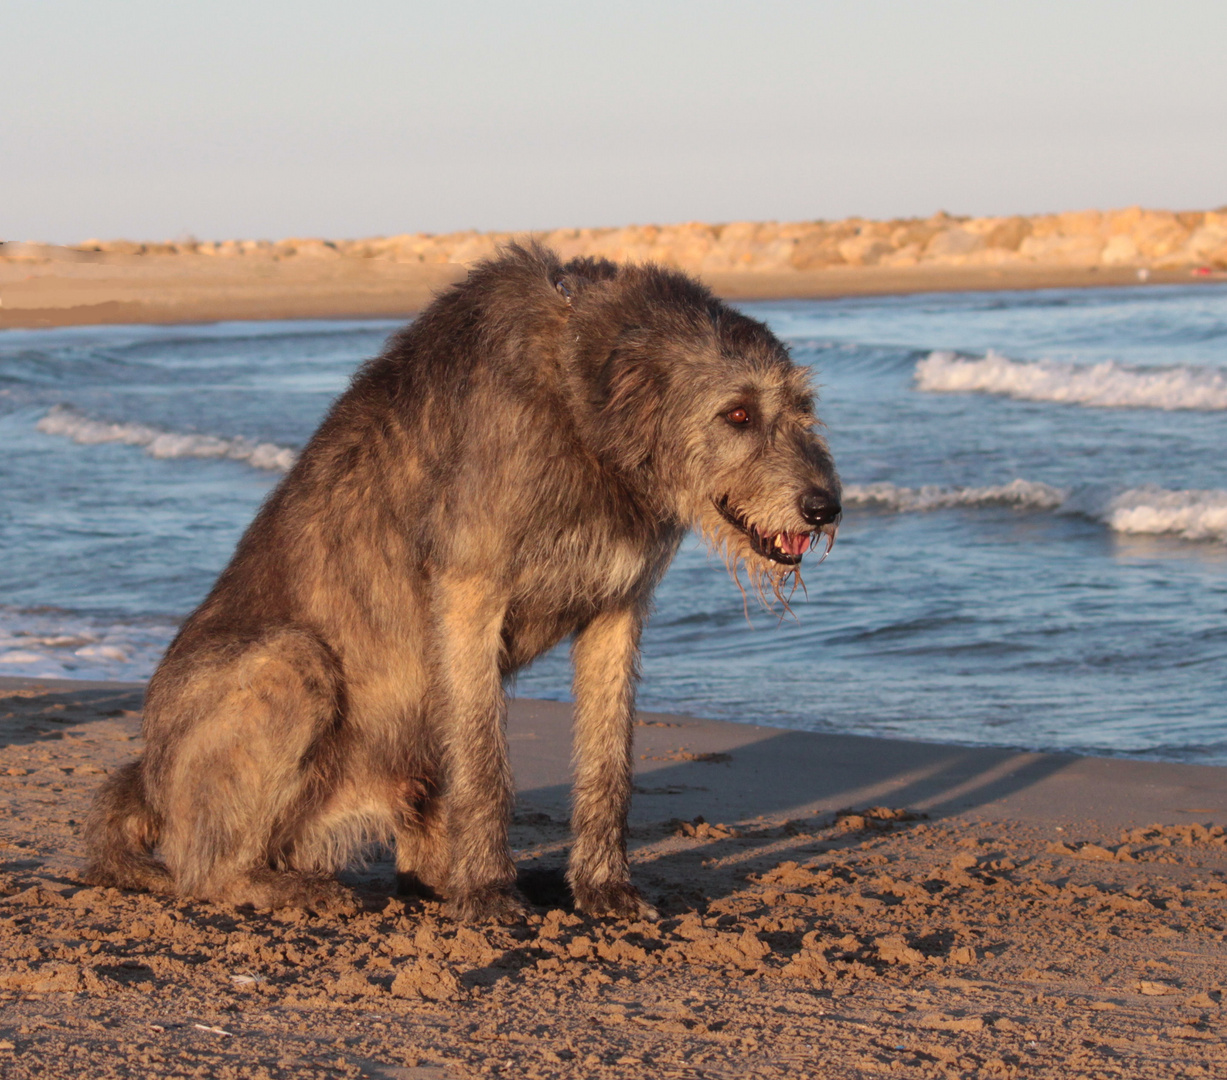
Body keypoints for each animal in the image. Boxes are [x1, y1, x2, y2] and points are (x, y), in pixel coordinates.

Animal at [81, 244, 839, 918]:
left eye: (804, 409)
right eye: (737, 413)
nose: (825, 507)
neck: (578, 410)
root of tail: (145, 778)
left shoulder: (616, 607)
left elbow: (608, 762)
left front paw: (603, 888)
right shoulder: (469, 593)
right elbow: (481, 758)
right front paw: (487, 892)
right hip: (285, 664)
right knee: (201, 865)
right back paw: (290, 888)